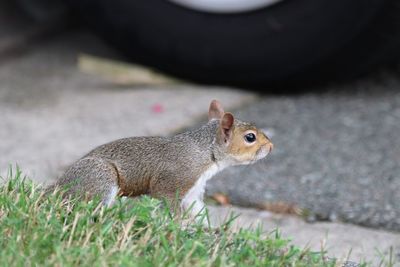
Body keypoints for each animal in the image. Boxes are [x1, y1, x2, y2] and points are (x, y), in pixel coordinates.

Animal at [48, 100, 274, 220]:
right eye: (250, 137)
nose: (271, 147)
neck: (205, 152)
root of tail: (58, 186)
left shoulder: (193, 191)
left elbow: (197, 211)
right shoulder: (174, 180)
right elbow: (169, 202)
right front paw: (180, 229)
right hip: (100, 177)